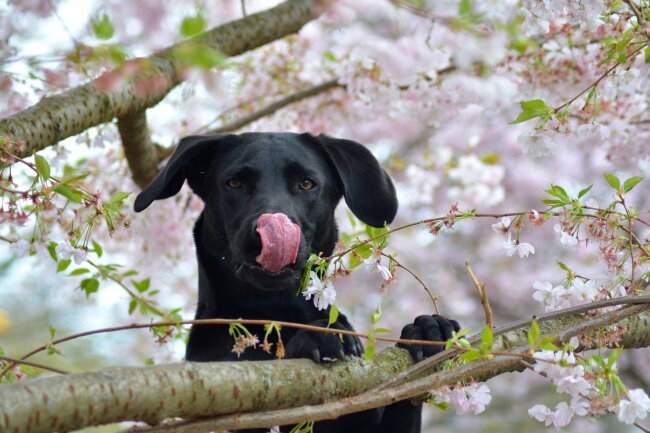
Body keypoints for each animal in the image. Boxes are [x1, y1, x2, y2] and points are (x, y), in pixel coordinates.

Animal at [134, 132, 458, 432]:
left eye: (306, 183)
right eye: (234, 183)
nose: (269, 231)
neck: (277, 313)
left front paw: (427, 330)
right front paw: (317, 338)